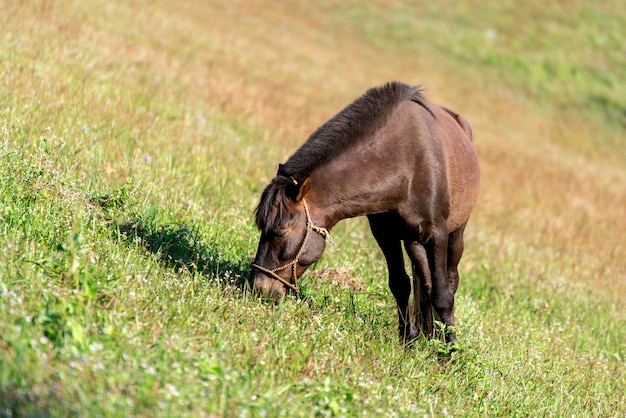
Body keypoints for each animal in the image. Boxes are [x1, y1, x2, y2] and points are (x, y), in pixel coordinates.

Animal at [249, 81, 478, 342]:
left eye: (279, 233)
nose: (259, 289)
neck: (407, 163)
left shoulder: (437, 233)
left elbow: (443, 295)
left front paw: (449, 349)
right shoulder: (385, 234)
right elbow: (400, 284)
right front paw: (408, 340)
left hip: (455, 234)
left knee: (450, 280)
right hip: (413, 241)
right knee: (425, 281)